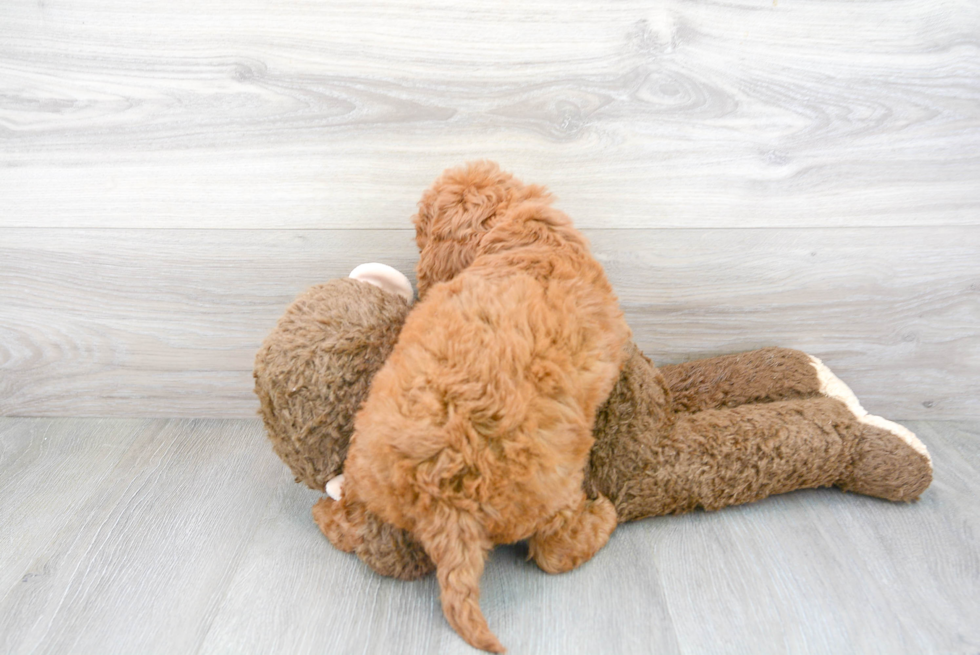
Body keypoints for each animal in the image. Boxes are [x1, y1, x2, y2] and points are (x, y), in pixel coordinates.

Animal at [340, 160, 632, 652]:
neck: (525, 240)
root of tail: (446, 499)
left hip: (370, 470)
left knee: (369, 537)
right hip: (554, 490)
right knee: (555, 552)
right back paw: (602, 517)